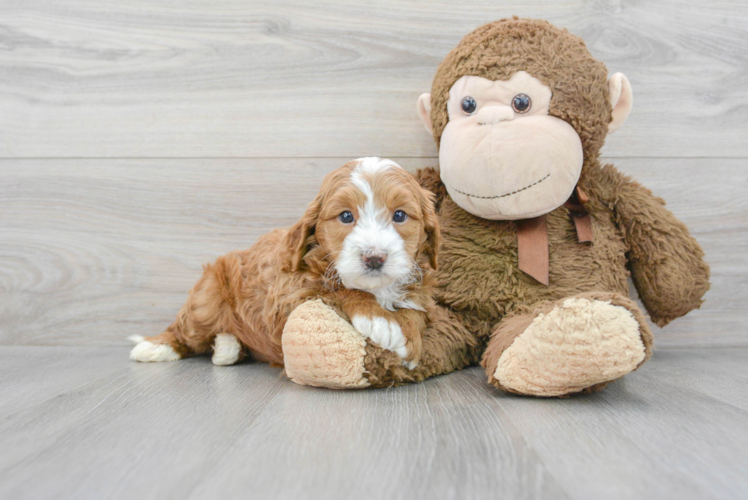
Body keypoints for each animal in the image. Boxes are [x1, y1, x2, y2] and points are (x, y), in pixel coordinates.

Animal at [130, 158, 438, 370]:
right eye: (346, 216)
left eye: (400, 215)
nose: (374, 258)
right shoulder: (287, 301)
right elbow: (338, 290)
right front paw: (380, 318)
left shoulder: (421, 295)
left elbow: (417, 314)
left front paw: (409, 338)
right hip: (207, 297)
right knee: (186, 328)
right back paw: (155, 347)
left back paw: (227, 348)